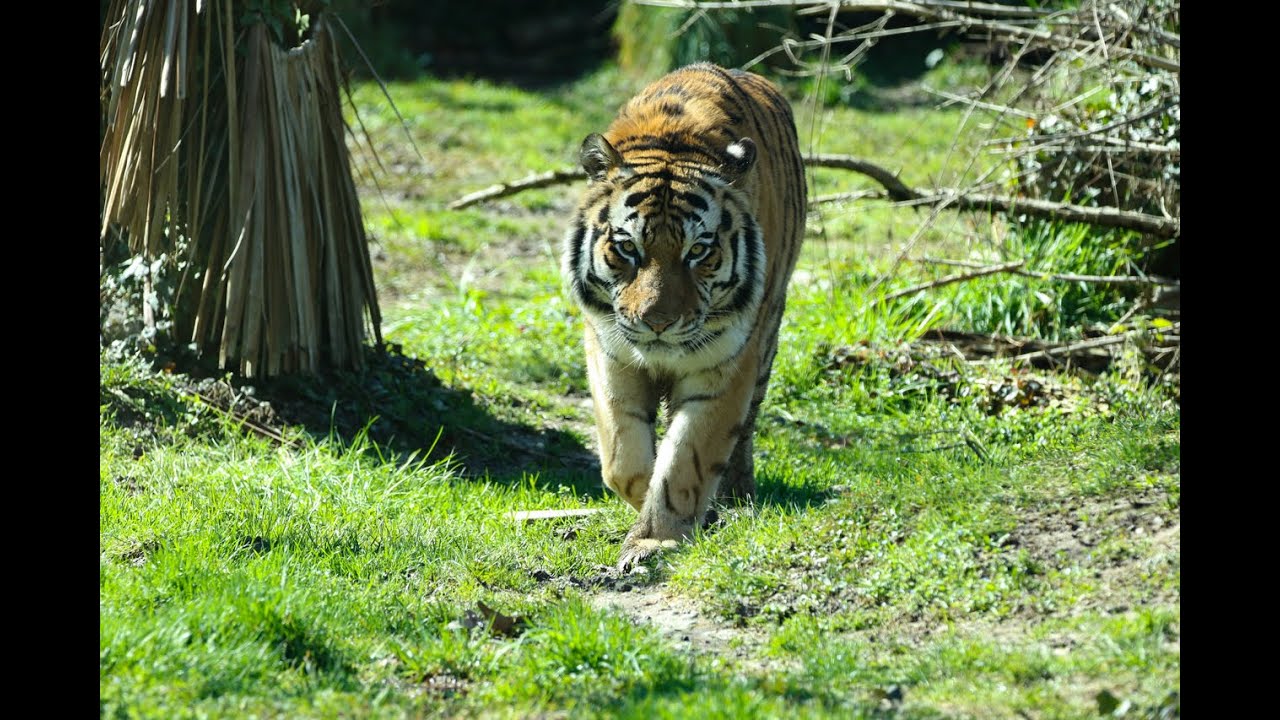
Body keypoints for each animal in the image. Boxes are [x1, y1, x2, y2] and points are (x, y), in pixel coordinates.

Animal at [561, 62, 807, 570]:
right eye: (627, 248)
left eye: (698, 252)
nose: (657, 323)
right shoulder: (609, 350)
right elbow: (623, 460)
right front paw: (667, 514)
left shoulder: (726, 364)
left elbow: (685, 460)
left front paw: (656, 541)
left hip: (767, 336)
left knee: (745, 431)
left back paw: (738, 496)